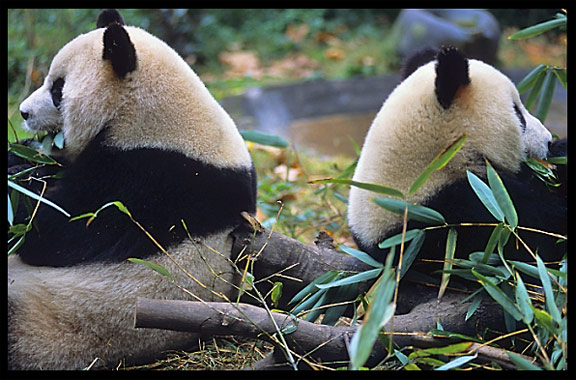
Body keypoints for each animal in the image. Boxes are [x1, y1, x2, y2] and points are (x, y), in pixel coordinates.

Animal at [8, 9, 256, 372]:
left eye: (57, 89)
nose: (24, 112)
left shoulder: (152, 181)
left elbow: (57, 232)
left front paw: (23, 185)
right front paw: (22, 160)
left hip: (54, 322)